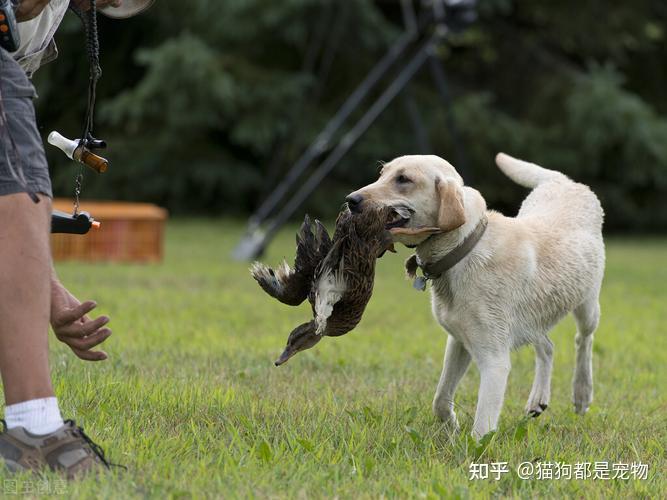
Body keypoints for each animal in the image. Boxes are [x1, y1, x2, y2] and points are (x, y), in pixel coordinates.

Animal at [350, 152, 604, 438]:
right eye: (382, 174)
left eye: (404, 179)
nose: (351, 201)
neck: (464, 248)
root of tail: (566, 182)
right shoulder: (459, 341)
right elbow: (440, 398)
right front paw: (452, 425)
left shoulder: (494, 360)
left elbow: (482, 428)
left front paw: (472, 445)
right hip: (533, 317)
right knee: (547, 346)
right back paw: (538, 399)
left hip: (586, 304)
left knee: (583, 340)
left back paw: (582, 394)